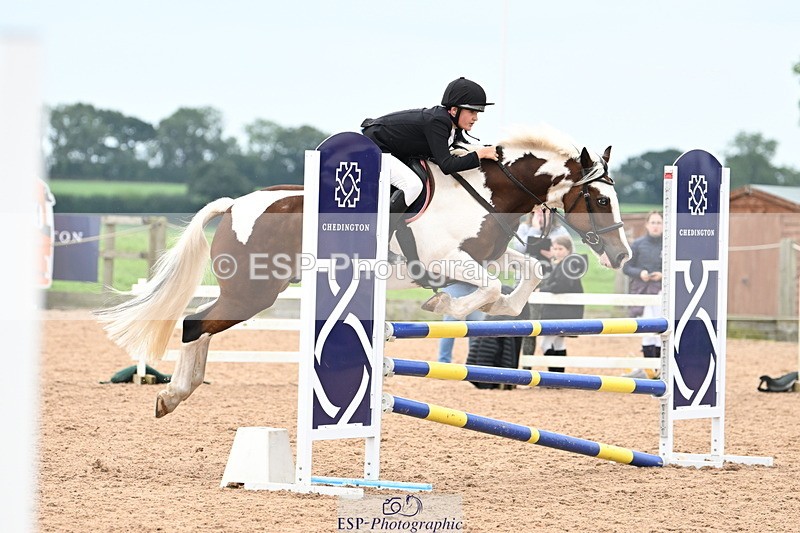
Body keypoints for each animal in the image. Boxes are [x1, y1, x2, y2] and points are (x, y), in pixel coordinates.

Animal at [95, 127, 632, 418]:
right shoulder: (446, 261)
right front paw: (444, 304)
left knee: (200, 324)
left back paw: (177, 393)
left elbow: (527, 275)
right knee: (194, 323)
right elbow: (480, 290)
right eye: (598, 197)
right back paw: (172, 395)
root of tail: (237, 204)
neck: (487, 191)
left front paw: (497, 307)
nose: (623, 254)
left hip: (252, 290)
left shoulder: (488, 254)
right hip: (254, 291)